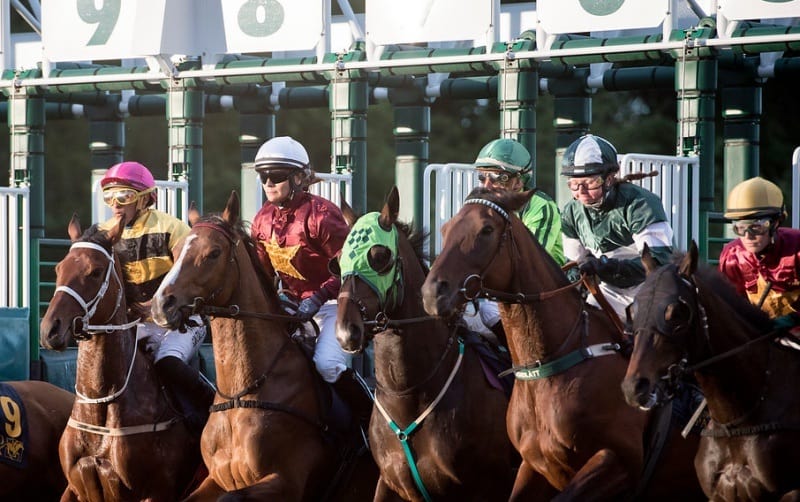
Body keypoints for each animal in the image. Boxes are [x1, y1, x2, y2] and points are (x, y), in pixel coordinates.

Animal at [38, 216, 202, 502]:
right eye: (59, 268)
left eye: (94, 271)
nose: (50, 330)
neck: (101, 402)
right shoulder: (75, 487)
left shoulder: (157, 491)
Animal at [151, 192, 382, 502]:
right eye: (175, 252)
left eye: (214, 253)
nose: (162, 304)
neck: (242, 392)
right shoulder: (214, 479)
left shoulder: (285, 482)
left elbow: (232, 497)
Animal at [336, 187, 512, 502]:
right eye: (338, 260)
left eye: (379, 256)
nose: (347, 332)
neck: (408, 394)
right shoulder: (389, 481)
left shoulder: (484, 485)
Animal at [418, 186, 700, 500]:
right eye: (445, 229)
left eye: (486, 229)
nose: (432, 293)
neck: (549, 366)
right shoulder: (533, 464)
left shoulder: (619, 461)